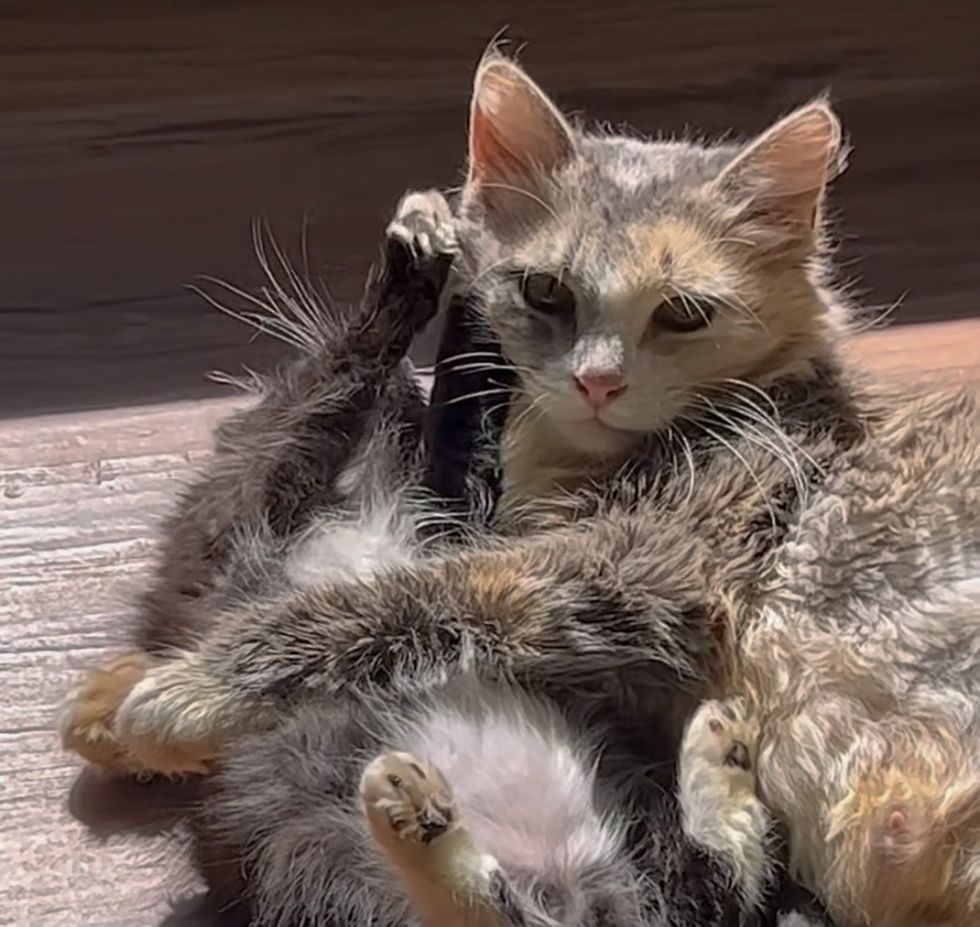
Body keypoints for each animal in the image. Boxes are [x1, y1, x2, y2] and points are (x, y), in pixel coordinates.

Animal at [65, 52, 976, 927]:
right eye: (547, 292)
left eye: (684, 313)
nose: (598, 382)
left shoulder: (642, 561)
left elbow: (412, 596)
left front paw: (191, 690)